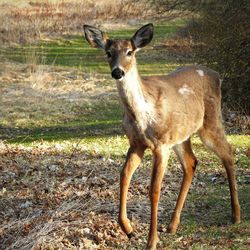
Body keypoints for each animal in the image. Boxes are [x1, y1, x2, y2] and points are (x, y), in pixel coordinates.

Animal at [83, 23, 240, 250]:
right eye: (108, 53)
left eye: (130, 52)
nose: (117, 72)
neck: (142, 114)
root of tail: (216, 74)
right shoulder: (136, 143)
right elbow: (123, 176)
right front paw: (128, 229)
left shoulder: (160, 144)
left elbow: (154, 190)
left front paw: (151, 241)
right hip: (181, 135)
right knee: (191, 162)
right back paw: (172, 225)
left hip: (209, 122)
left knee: (228, 153)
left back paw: (236, 215)